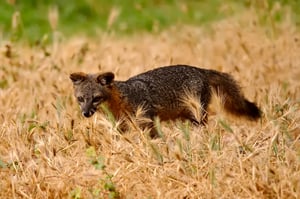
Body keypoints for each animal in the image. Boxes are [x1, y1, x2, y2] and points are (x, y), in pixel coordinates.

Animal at [69, 64, 260, 138]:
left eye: (96, 99)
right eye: (81, 99)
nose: (85, 113)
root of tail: (201, 70)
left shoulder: (146, 119)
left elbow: (152, 137)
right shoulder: (121, 124)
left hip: (197, 115)